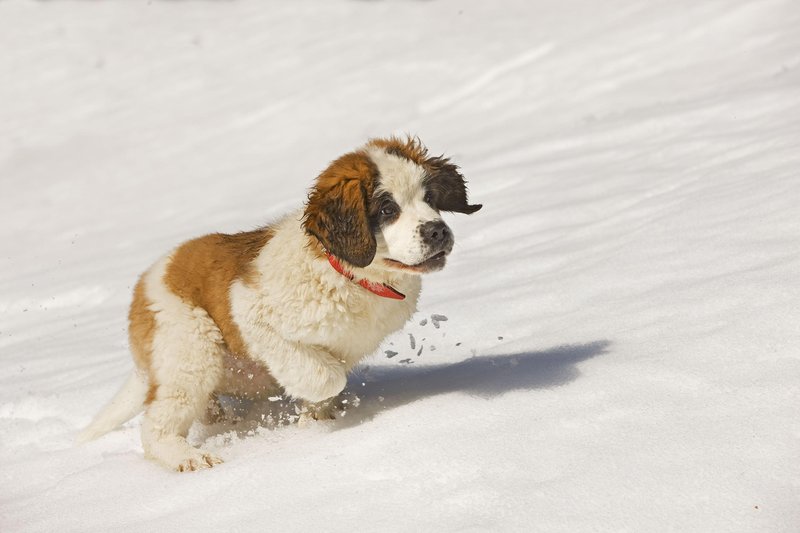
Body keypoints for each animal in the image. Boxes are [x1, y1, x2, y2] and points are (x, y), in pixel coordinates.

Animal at [78, 136, 482, 470]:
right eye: (386, 209)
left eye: (429, 199)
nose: (437, 231)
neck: (346, 272)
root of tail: (145, 284)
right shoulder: (252, 315)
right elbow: (326, 376)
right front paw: (313, 411)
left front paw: (315, 420)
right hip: (191, 348)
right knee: (157, 423)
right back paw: (187, 457)